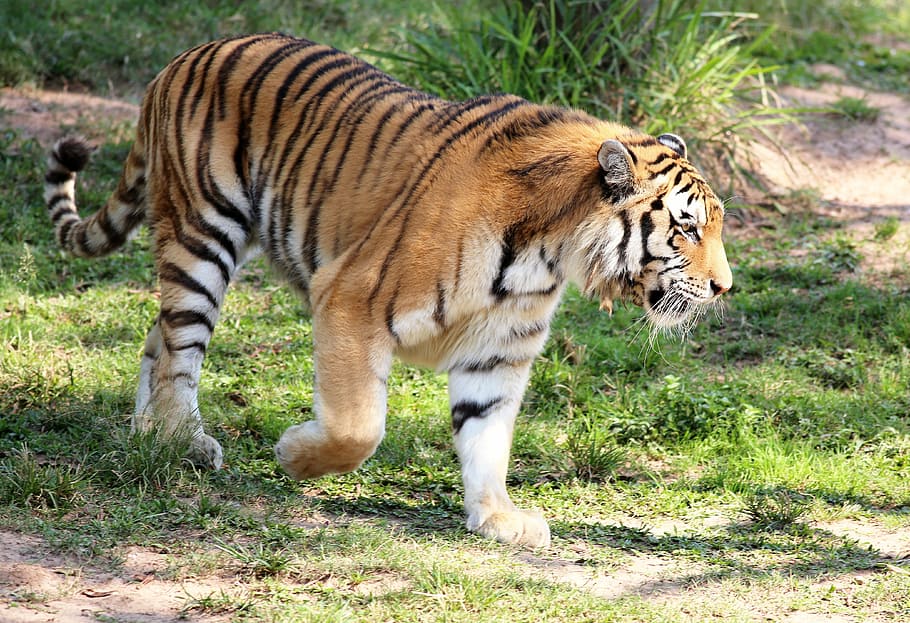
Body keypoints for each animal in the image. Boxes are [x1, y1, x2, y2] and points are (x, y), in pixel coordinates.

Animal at [44, 33, 732, 548]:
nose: (725, 287)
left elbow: (487, 438)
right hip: (203, 235)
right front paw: (294, 456)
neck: (547, 251)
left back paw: (150, 433)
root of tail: (182, 58)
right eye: (687, 226)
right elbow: (358, 428)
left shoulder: (500, 350)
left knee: (155, 336)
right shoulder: (350, 300)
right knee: (180, 346)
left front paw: (498, 517)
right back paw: (182, 438)